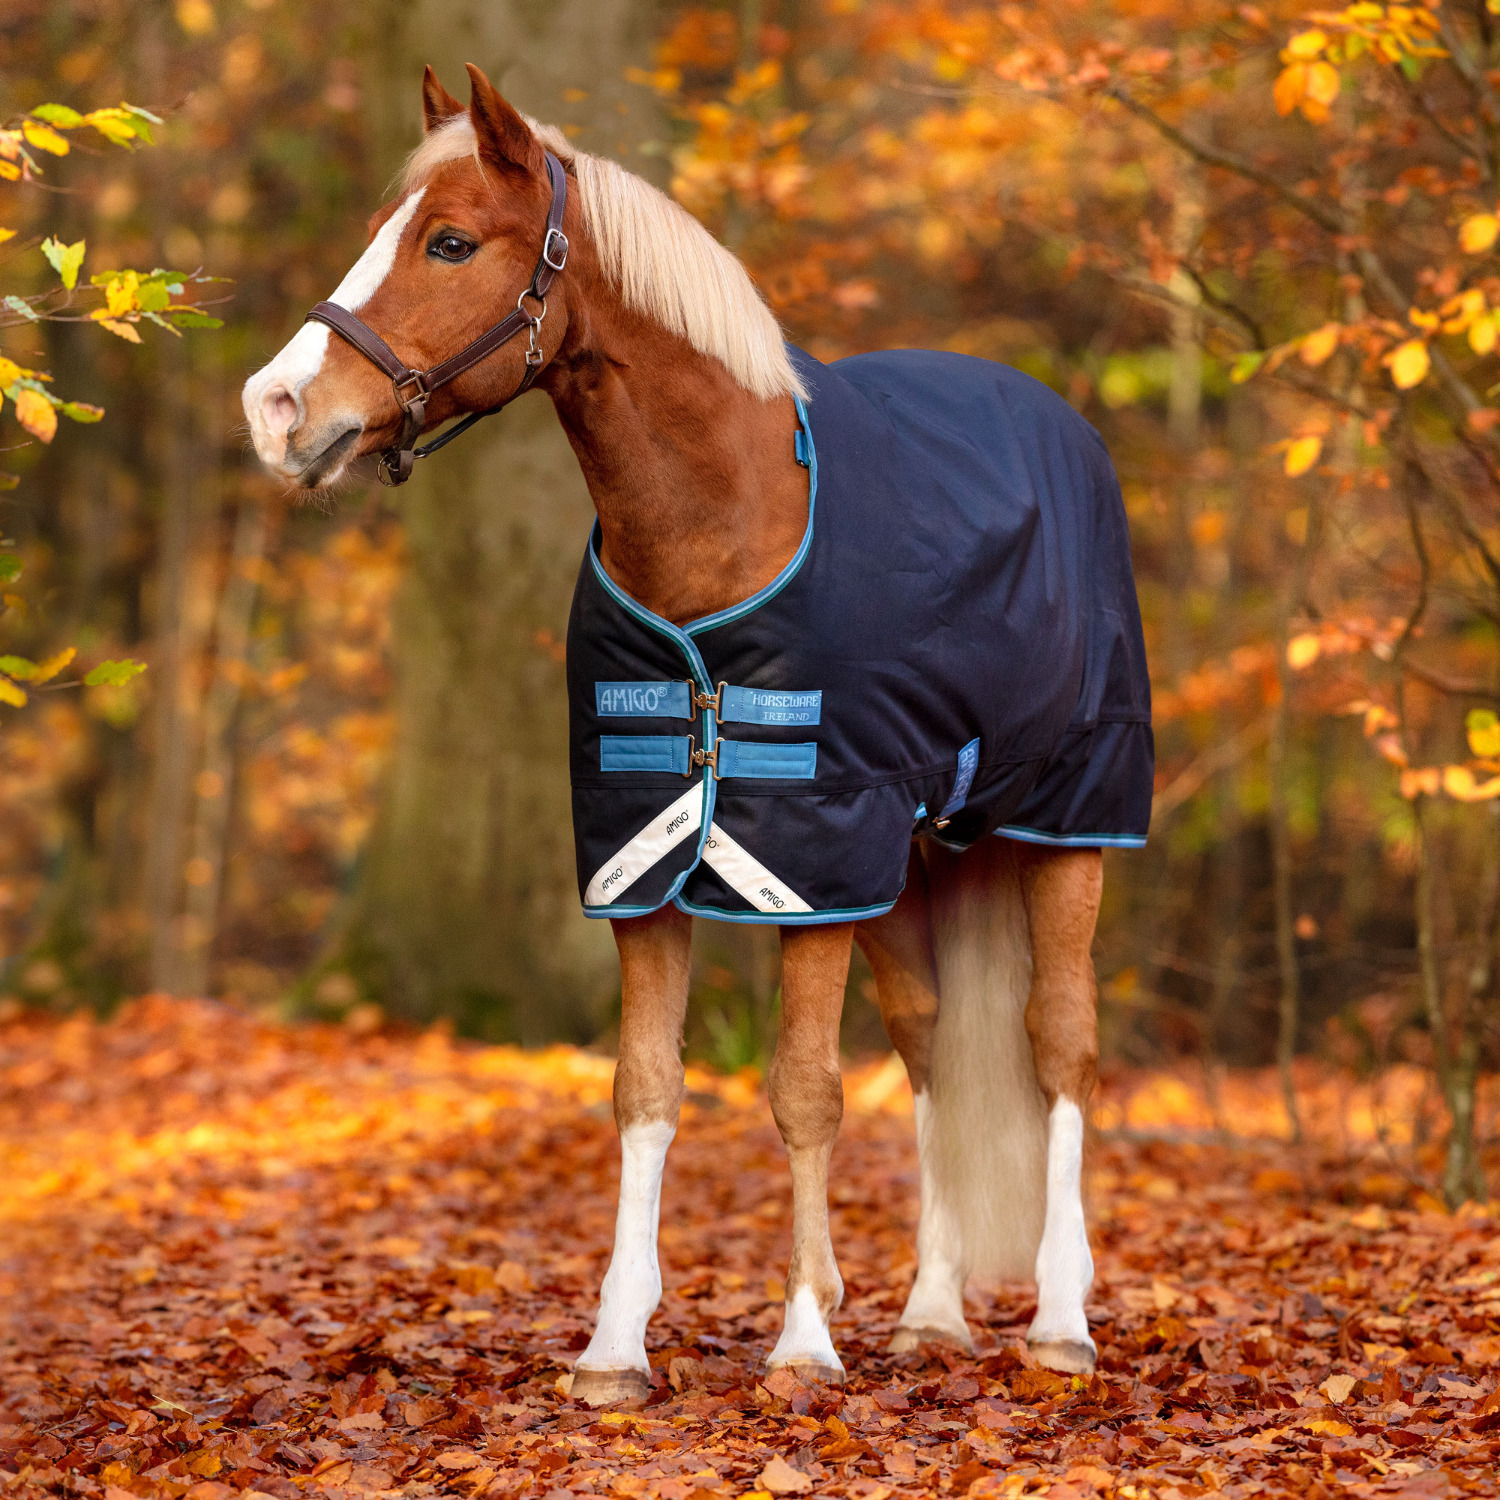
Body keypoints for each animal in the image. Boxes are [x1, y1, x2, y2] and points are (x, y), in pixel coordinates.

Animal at [242, 63, 1153, 1406]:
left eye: (449, 241)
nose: (276, 408)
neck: (724, 520)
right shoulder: (647, 858)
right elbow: (646, 1089)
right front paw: (617, 1346)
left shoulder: (811, 864)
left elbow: (807, 1092)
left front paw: (805, 1339)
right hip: (912, 854)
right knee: (934, 1047)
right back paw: (933, 1311)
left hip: (1067, 826)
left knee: (1061, 1049)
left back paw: (1059, 1322)